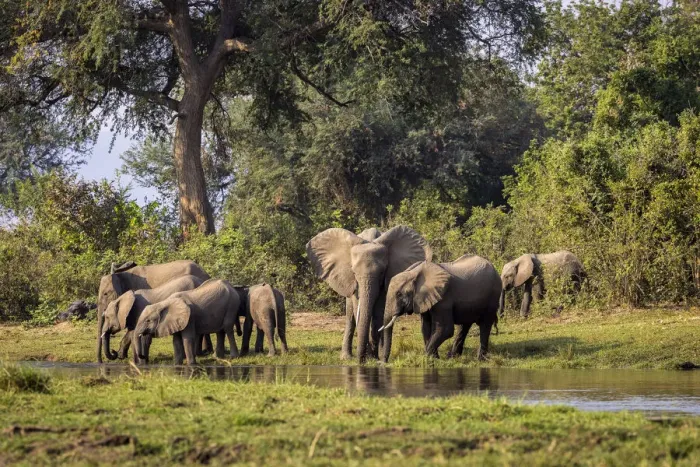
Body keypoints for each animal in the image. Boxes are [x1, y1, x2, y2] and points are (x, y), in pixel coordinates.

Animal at [306, 225, 431, 363]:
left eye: (382, 272)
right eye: (354, 272)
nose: (362, 359)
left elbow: (378, 312)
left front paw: (373, 357)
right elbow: (358, 308)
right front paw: (368, 357)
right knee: (350, 316)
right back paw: (346, 357)